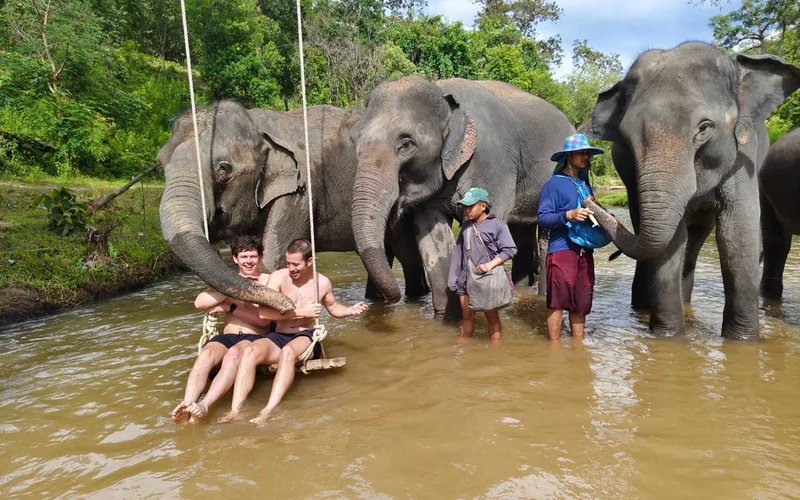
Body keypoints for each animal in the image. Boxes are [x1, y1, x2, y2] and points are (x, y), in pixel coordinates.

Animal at [158, 100, 429, 312]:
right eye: (160, 163)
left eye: (223, 169)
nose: (288, 307)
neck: (256, 125)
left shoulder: (300, 193)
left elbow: (272, 261)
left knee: (406, 255)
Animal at [349, 75, 575, 318]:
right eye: (354, 140)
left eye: (407, 143)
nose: (390, 299)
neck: (443, 95)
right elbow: (430, 235)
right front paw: (447, 317)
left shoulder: (493, 165)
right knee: (520, 231)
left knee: (547, 233)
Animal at [580, 42, 800, 339]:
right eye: (625, 138)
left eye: (704, 128)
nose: (589, 199)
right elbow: (673, 238)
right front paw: (669, 338)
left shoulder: (746, 154)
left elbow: (737, 231)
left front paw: (742, 341)